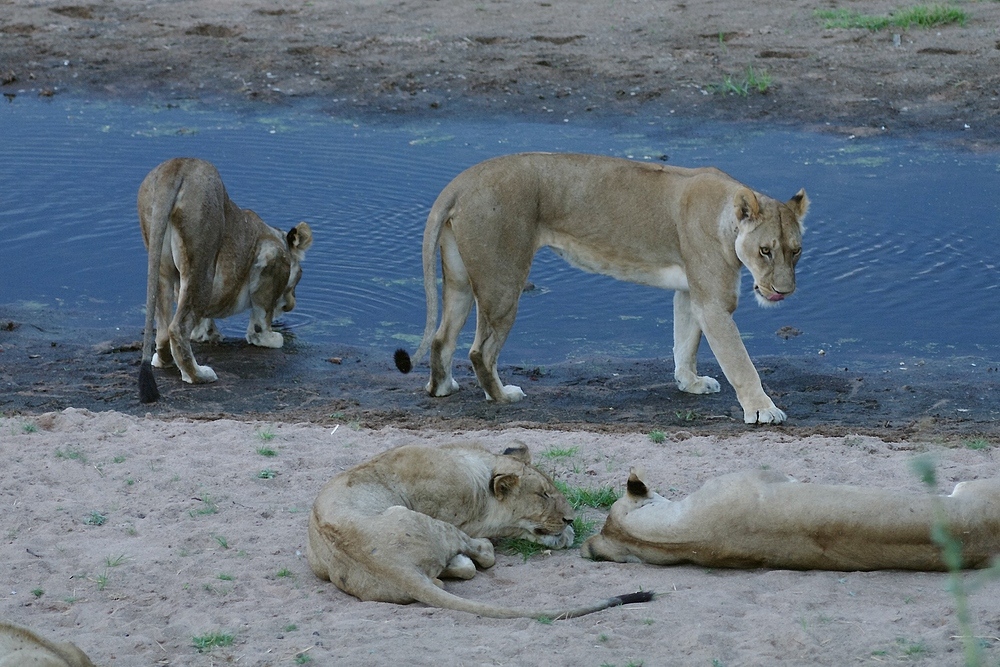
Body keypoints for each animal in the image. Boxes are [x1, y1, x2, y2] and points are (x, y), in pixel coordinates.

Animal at [135, 159, 310, 404]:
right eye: (299, 278)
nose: (291, 305)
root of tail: (176, 167)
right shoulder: (270, 257)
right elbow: (262, 314)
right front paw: (266, 337)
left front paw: (207, 334)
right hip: (203, 260)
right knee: (177, 327)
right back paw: (199, 375)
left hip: (160, 263)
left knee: (162, 329)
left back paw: (164, 361)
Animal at [304, 444, 652, 620]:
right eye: (542, 495)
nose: (570, 519)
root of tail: (395, 567)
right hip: (426, 522)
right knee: (480, 558)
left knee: (445, 578)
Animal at [394, 152, 808, 422]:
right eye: (765, 251)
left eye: (796, 251)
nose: (784, 292)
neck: (725, 217)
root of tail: (462, 180)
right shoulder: (714, 302)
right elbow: (740, 361)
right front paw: (763, 409)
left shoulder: (691, 292)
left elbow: (685, 342)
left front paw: (689, 383)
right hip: (503, 280)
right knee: (480, 351)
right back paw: (503, 397)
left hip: (461, 280)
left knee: (442, 339)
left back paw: (442, 388)